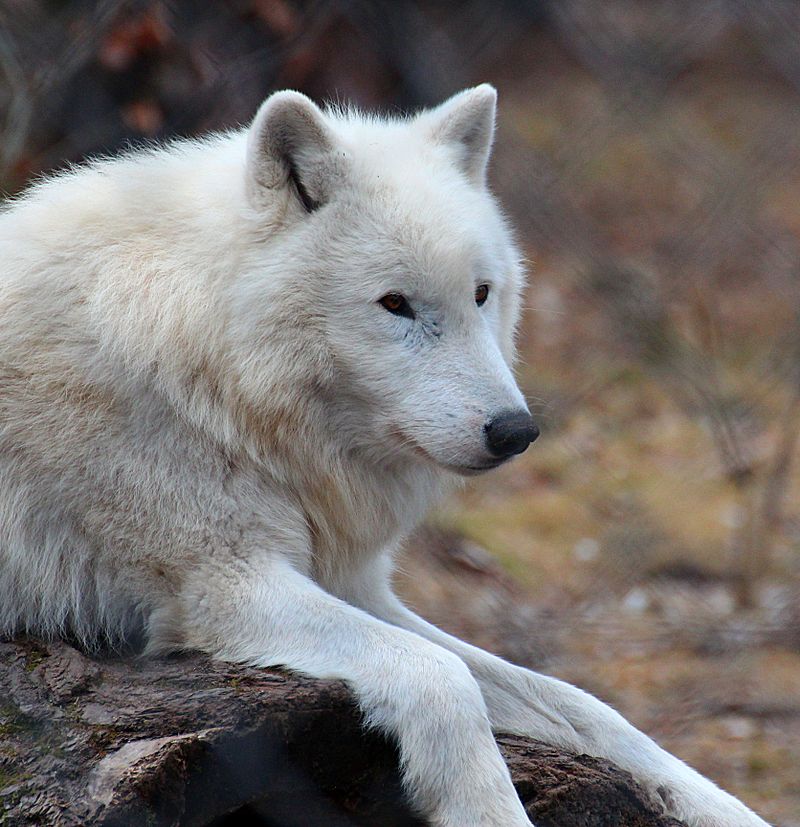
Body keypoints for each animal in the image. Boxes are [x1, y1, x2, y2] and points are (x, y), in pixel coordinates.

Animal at [0, 85, 768, 827]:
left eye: (481, 294)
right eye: (395, 304)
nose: (515, 431)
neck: (210, 372)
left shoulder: (356, 585)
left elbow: (586, 706)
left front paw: (722, 806)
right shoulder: (225, 584)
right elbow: (442, 675)